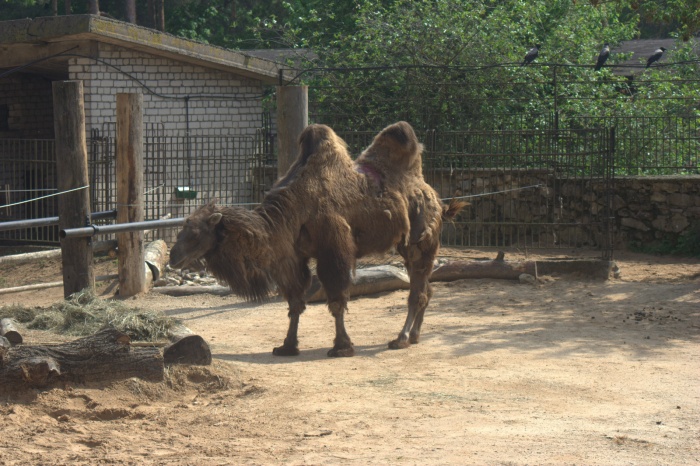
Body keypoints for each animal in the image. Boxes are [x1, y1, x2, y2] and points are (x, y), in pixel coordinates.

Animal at [169, 121, 464, 356]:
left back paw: (400, 339)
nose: (173, 256)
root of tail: (435, 196)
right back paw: (414, 336)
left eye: (195, 233)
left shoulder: (333, 249)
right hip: (406, 245)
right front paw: (287, 346)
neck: (291, 210)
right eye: (183, 226)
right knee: (425, 288)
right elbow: (295, 303)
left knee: (416, 292)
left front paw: (342, 347)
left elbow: (336, 299)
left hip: (421, 241)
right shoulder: (291, 257)